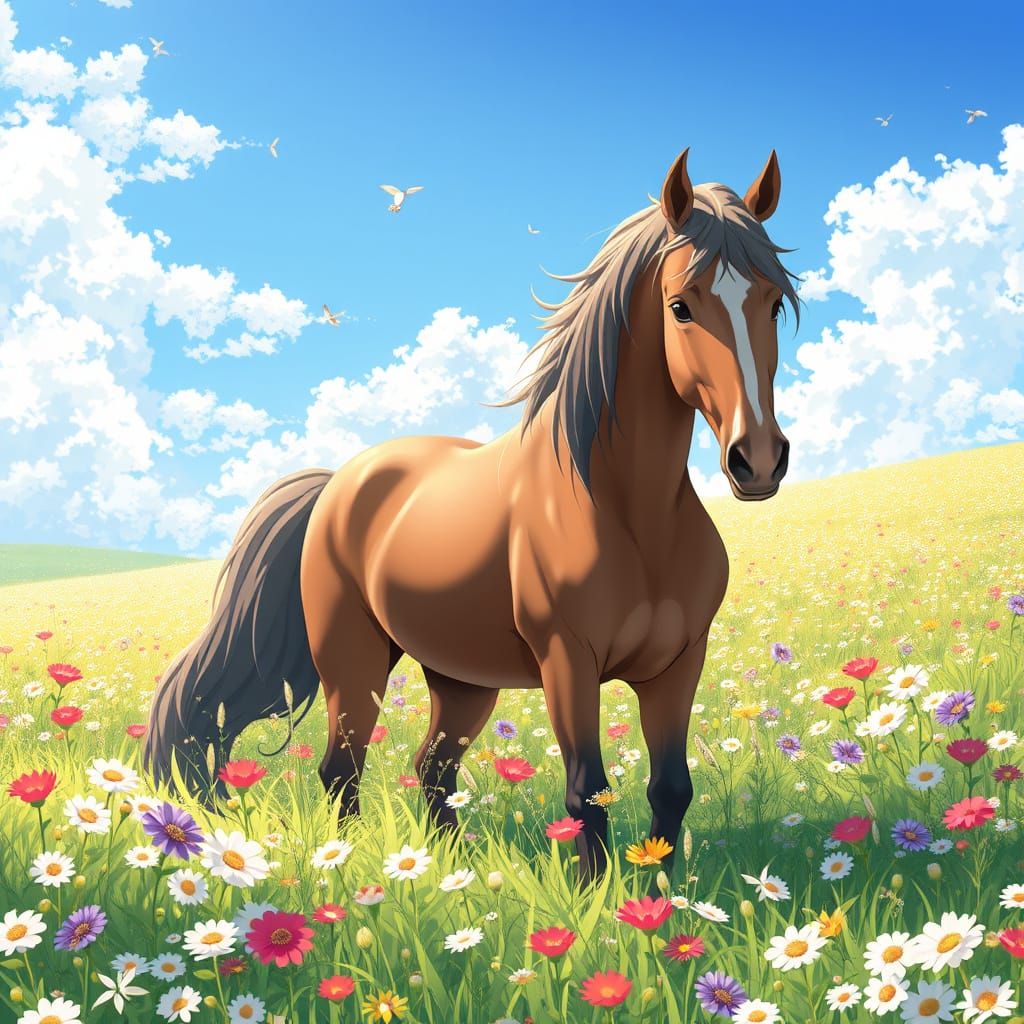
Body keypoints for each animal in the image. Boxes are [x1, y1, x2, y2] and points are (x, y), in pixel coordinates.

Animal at [144, 146, 799, 883]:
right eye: (681, 306)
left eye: (774, 303)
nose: (758, 460)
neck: (634, 518)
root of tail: (339, 481)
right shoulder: (568, 663)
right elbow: (588, 789)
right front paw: (598, 899)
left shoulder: (680, 664)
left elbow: (671, 788)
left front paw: (661, 893)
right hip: (354, 662)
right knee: (343, 769)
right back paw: (353, 865)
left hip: (462, 680)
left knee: (432, 769)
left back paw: (447, 868)